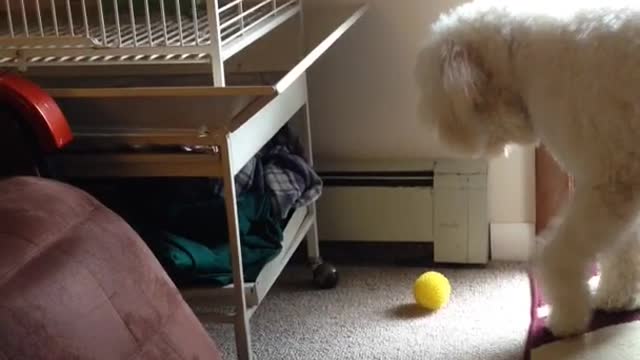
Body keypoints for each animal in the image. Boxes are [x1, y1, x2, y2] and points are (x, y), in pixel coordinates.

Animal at [416, 0, 640, 338]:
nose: (447, 137)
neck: (520, 53)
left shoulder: (608, 185)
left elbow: (560, 255)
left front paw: (566, 317)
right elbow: (625, 249)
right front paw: (616, 296)